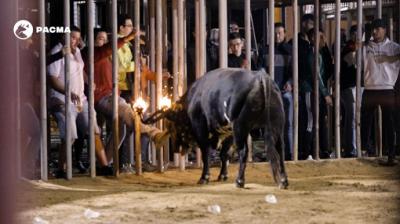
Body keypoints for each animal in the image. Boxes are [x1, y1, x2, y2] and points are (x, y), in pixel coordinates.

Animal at [143, 68, 288, 189]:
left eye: (172, 125)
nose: (175, 148)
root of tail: (260, 77)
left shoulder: (201, 130)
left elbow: (206, 153)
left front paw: (204, 177)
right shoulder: (229, 133)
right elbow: (224, 154)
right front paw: (222, 175)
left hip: (240, 127)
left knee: (244, 151)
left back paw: (239, 181)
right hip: (276, 126)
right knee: (280, 150)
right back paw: (283, 181)